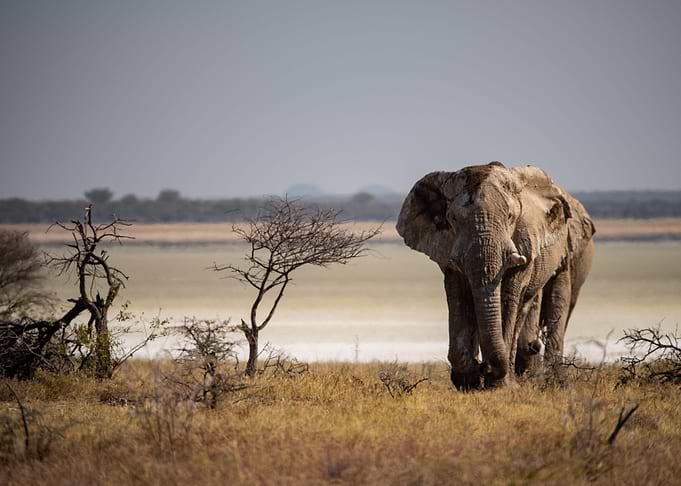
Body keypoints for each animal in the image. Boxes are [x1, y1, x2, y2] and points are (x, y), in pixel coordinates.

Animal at [396, 162, 595, 390]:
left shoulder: (525, 241)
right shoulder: (448, 247)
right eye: (453, 219)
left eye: (510, 217)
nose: (484, 367)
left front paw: (497, 385)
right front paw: (469, 382)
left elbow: (508, 297)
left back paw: (548, 380)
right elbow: (459, 297)